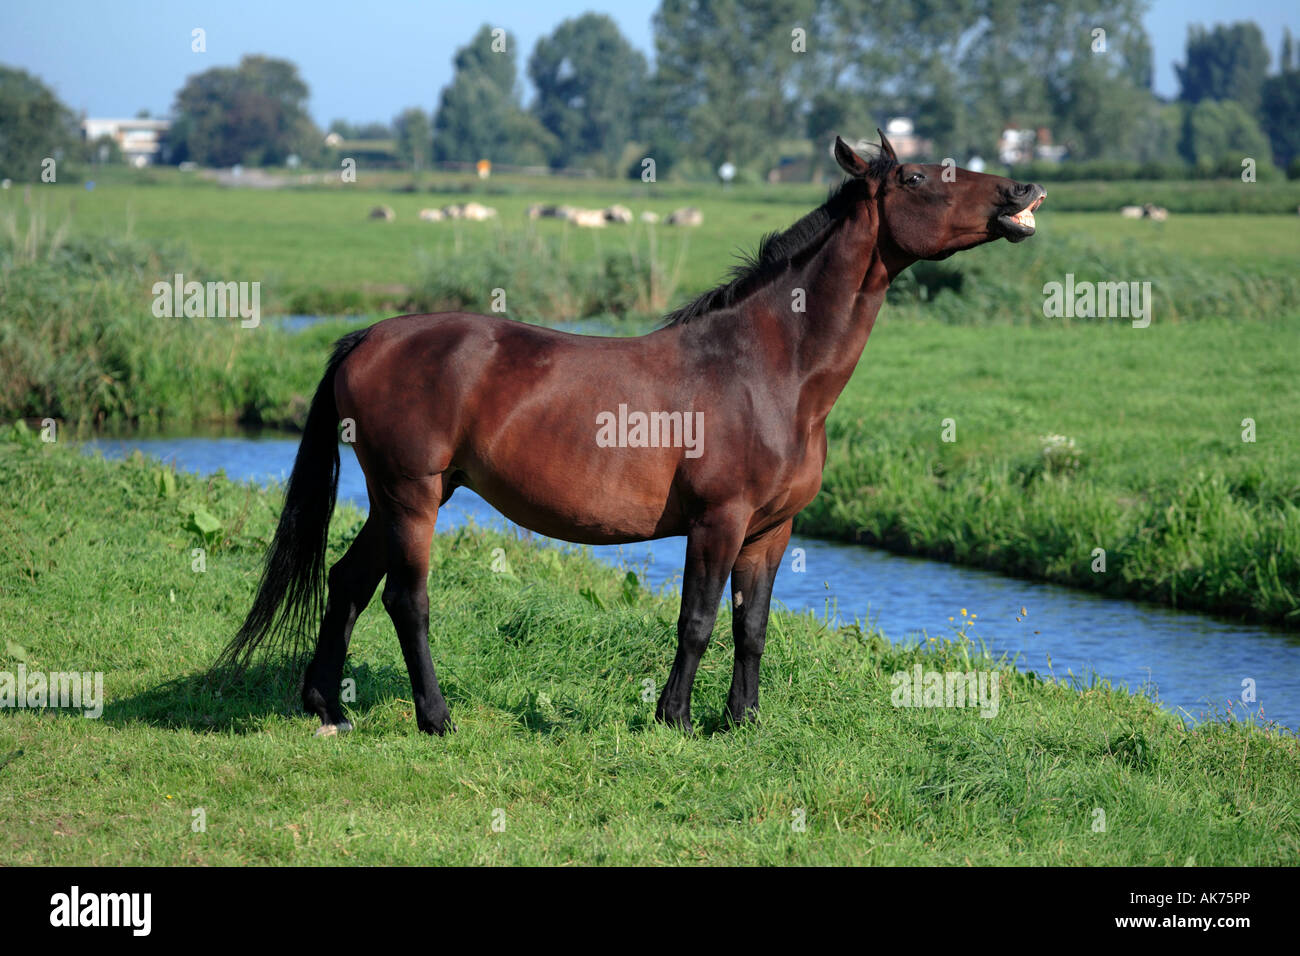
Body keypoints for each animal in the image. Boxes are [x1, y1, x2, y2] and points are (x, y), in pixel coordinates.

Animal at [215, 130, 1045, 738]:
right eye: (917, 178)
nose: (1023, 193)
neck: (768, 367)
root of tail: (369, 337)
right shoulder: (718, 522)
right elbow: (698, 621)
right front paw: (674, 718)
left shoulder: (771, 530)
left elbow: (752, 627)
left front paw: (740, 722)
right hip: (412, 495)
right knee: (404, 600)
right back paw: (436, 719)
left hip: (405, 497)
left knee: (348, 582)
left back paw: (329, 706)